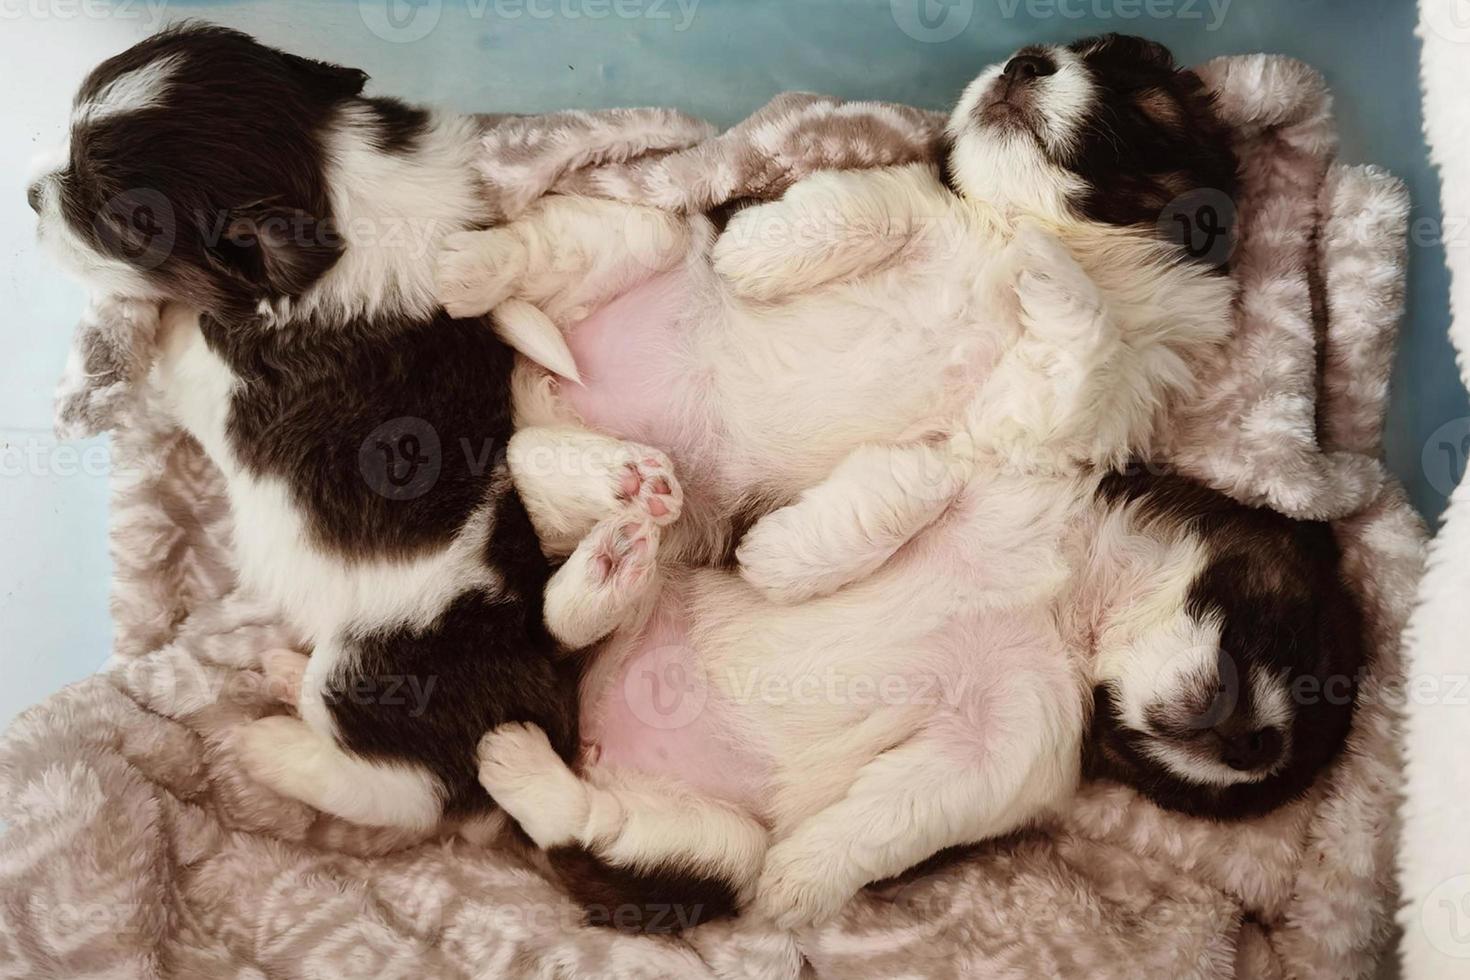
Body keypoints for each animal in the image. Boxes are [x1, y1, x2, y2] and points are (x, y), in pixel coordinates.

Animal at [31, 22, 758, 928]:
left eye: (111, 214)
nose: (30, 196)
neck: (332, 178)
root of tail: (538, 667)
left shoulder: (216, 370)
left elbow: (171, 342)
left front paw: (123, 335)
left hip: (368, 678)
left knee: (402, 788)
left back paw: (270, 744)